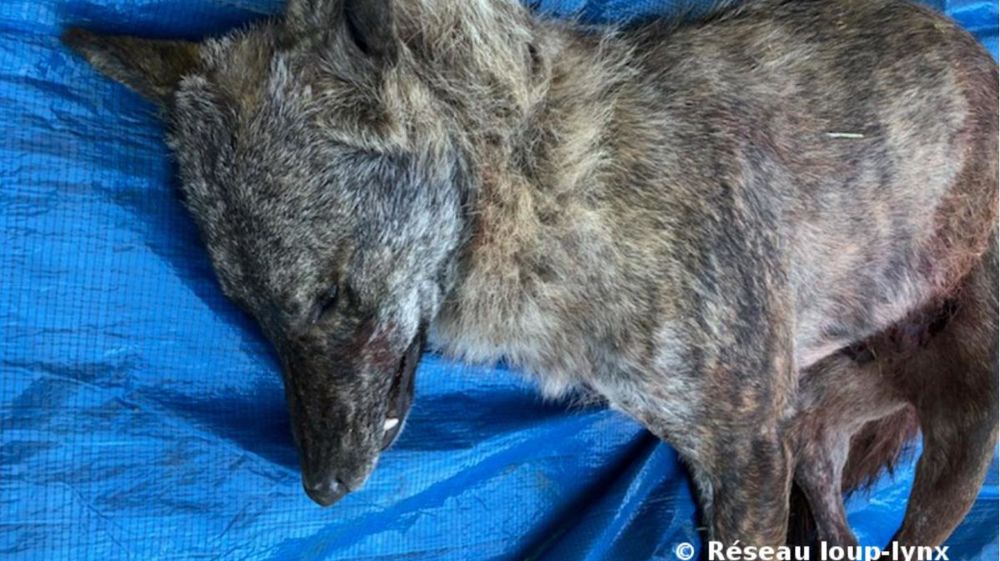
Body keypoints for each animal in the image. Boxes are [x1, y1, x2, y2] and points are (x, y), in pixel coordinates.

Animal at [63, 0, 998, 548]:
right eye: (250, 312)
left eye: (329, 298)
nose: (323, 491)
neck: (537, 181)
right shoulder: (752, 449)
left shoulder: (744, 455)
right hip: (817, 425)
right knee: (834, 513)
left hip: (965, 429)